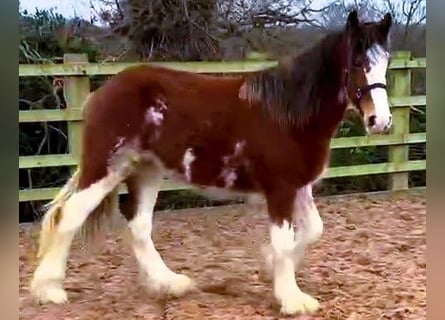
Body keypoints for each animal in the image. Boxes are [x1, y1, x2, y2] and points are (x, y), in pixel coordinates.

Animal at [29, 10, 392, 316]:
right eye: (357, 62)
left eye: (386, 62)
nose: (381, 121)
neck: (288, 116)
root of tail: (105, 91)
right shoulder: (280, 190)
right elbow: (284, 240)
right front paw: (292, 299)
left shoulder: (299, 186)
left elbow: (313, 230)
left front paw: (268, 267)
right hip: (107, 167)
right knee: (70, 216)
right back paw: (49, 291)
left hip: (147, 170)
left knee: (138, 225)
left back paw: (169, 283)